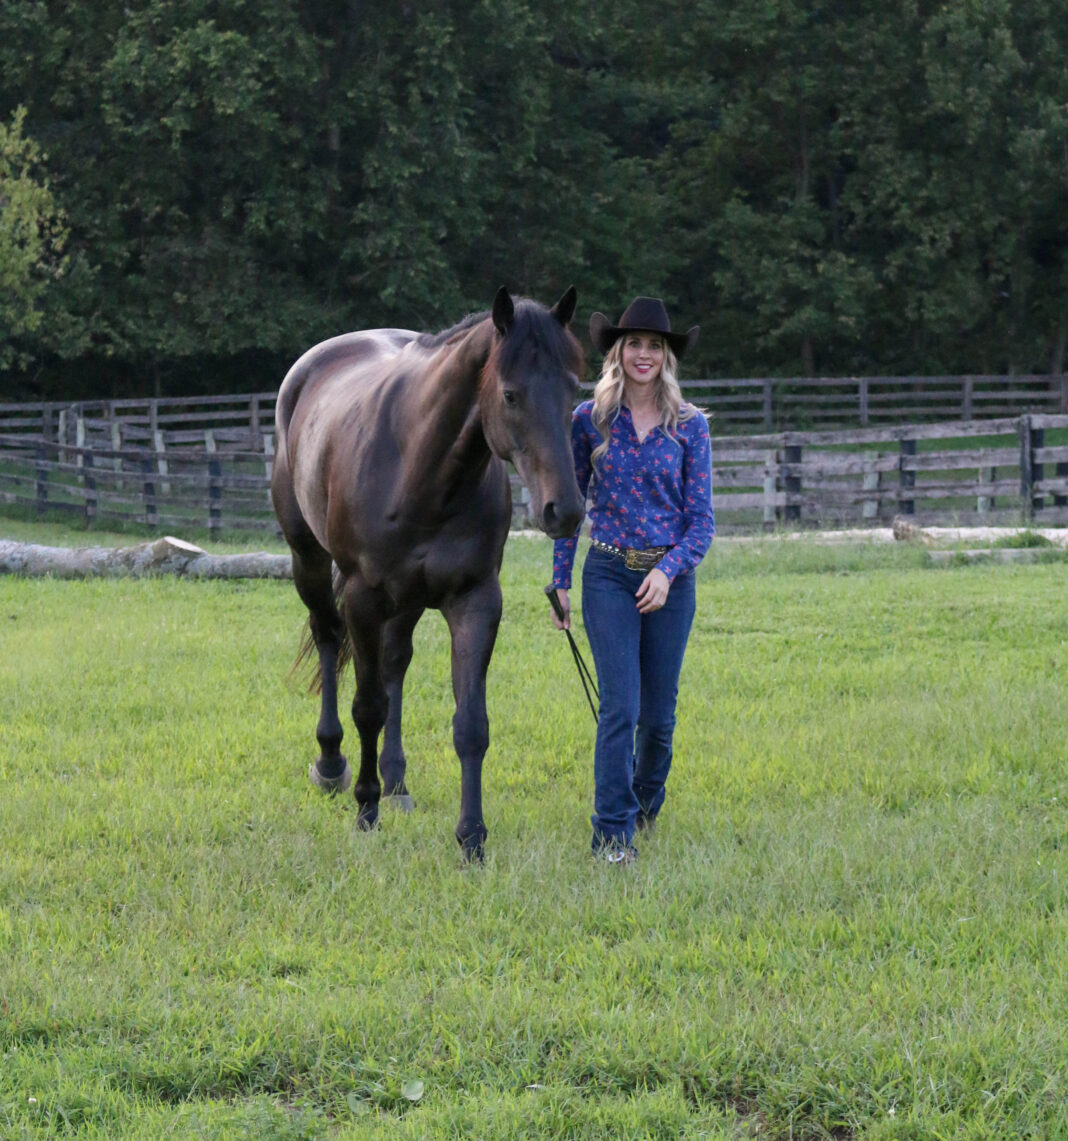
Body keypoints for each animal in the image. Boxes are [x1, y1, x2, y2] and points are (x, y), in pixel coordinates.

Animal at [269, 289, 584, 858]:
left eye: (573, 388)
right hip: (309, 559)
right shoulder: (363, 598)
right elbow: (367, 706)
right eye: (510, 395)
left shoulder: (476, 600)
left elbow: (471, 724)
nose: (564, 510)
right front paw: (365, 810)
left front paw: (472, 837)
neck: (421, 470)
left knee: (395, 663)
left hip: (407, 599)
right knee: (327, 637)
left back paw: (396, 783)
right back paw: (333, 764)